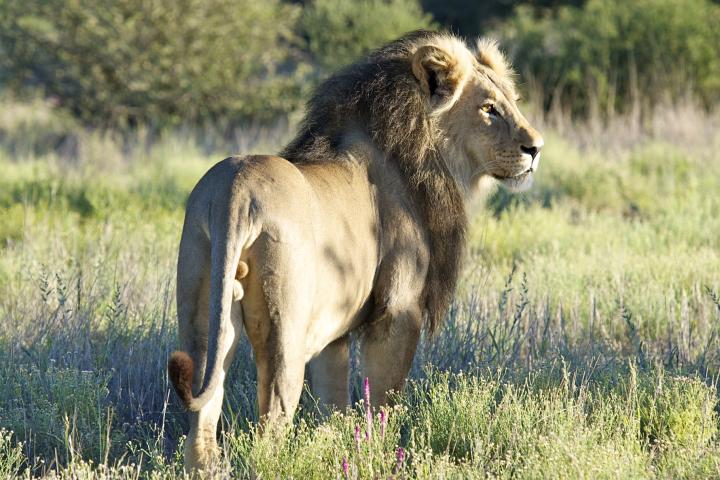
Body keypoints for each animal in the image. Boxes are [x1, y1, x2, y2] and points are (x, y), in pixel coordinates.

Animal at [168, 30, 543, 472]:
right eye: (489, 109)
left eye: (513, 101)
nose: (536, 148)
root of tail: (235, 190)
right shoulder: (398, 311)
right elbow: (384, 400)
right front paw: (381, 454)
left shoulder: (334, 332)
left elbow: (334, 404)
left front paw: (339, 446)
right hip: (285, 332)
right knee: (270, 428)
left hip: (204, 310)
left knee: (203, 418)